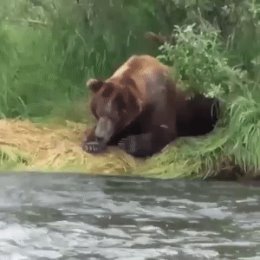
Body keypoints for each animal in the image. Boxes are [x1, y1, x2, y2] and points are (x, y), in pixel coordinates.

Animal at [82, 54, 219, 157]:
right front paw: (91, 144)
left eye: (114, 117)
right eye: (98, 113)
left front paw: (127, 143)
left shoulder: (160, 101)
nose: (100, 136)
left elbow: (163, 130)